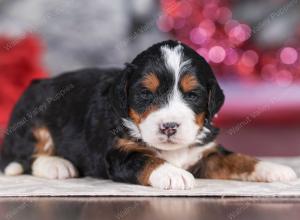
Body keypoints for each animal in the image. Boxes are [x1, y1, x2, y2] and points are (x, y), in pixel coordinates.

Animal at [0, 40, 296, 189]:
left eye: (192, 95)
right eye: (145, 94)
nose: (169, 127)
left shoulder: (205, 153)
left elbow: (237, 159)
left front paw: (274, 168)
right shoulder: (118, 154)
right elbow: (145, 159)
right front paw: (173, 174)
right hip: (32, 119)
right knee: (25, 156)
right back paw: (57, 165)